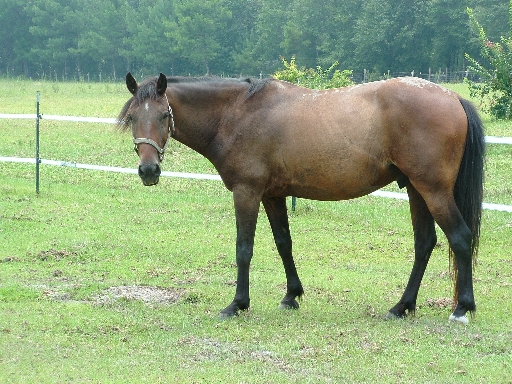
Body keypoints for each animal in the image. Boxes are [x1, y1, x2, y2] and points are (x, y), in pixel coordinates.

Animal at [119, 73, 484, 324]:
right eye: (133, 117)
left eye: (164, 116)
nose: (148, 170)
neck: (238, 113)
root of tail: (453, 98)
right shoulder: (273, 196)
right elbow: (284, 243)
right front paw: (291, 295)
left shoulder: (247, 192)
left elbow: (244, 249)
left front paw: (237, 304)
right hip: (415, 189)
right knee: (425, 243)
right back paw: (402, 306)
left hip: (432, 190)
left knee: (459, 237)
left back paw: (461, 308)